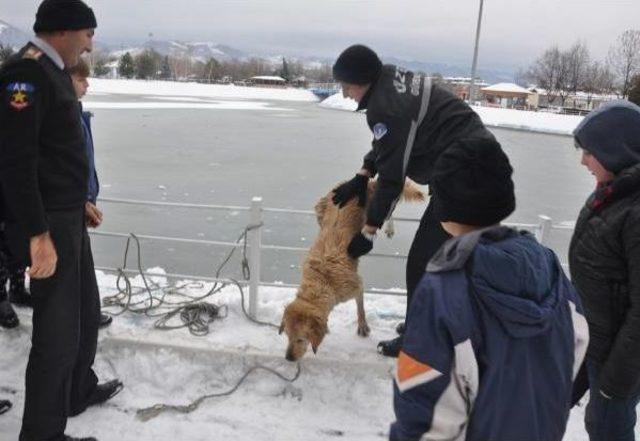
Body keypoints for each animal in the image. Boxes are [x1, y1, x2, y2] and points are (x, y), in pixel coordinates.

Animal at [280, 180, 424, 360]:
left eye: (301, 339)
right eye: (287, 336)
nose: (289, 358)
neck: (322, 279)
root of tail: (368, 183)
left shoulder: (356, 285)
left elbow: (360, 307)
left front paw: (362, 326)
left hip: (375, 207)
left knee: (388, 209)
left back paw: (389, 228)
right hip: (321, 208)